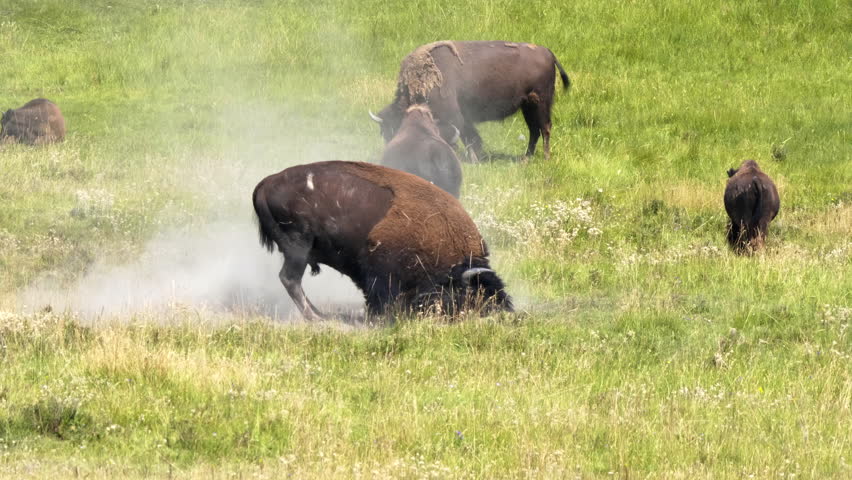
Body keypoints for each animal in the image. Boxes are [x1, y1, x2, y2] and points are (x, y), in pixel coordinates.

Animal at [252, 161, 513, 321]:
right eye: (473, 298)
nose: (500, 315)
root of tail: (266, 183)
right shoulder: (381, 275)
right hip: (298, 248)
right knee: (290, 279)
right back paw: (316, 317)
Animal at [369, 40, 570, 162]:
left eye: (393, 129)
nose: (393, 155)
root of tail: (548, 52)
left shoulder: (454, 117)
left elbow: (464, 136)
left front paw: (471, 159)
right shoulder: (464, 118)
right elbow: (470, 136)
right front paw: (475, 158)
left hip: (541, 103)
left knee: (544, 128)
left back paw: (545, 157)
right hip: (527, 106)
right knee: (534, 131)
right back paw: (525, 158)